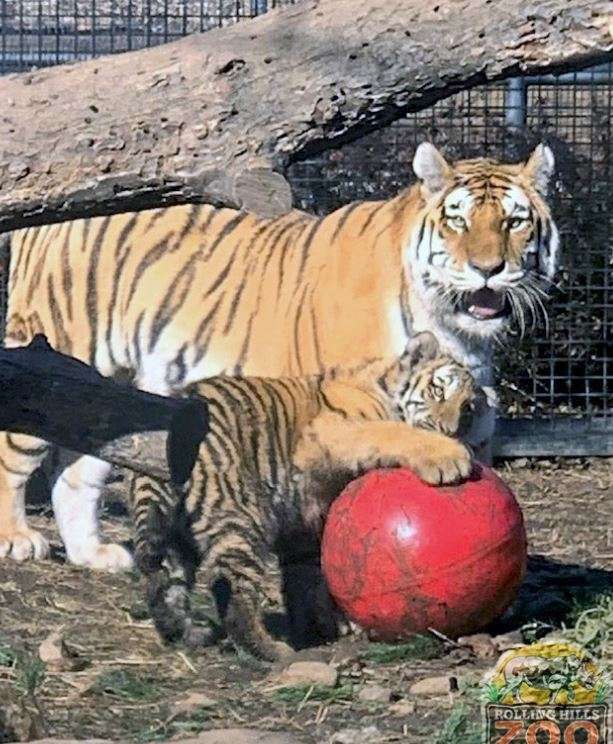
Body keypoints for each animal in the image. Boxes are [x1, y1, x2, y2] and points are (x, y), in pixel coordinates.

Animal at [0, 142, 558, 571]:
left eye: (515, 221)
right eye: (457, 221)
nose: (488, 269)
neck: (455, 332)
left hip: (113, 391)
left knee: (76, 469)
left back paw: (93, 554)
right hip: (51, 351)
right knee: (13, 449)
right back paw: (17, 540)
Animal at [129, 332, 481, 661]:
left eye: (467, 410)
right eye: (438, 391)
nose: (451, 431)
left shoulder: (305, 520)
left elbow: (307, 576)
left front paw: (326, 624)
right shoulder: (333, 430)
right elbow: (392, 431)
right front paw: (449, 457)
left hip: (175, 531)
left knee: (165, 580)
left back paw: (186, 633)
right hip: (238, 515)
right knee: (232, 594)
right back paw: (271, 651)